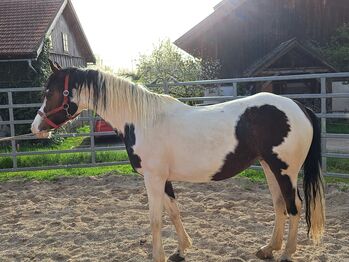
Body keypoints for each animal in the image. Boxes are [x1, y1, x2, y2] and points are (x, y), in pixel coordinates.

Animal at [30, 64, 324, 262]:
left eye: (49, 91)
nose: (35, 128)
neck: (142, 120)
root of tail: (300, 107)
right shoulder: (164, 178)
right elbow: (173, 212)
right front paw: (182, 249)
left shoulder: (153, 178)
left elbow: (155, 219)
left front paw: (157, 256)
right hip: (268, 166)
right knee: (279, 205)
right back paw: (269, 249)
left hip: (285, 170)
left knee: (295, 206)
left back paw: (287, 253)